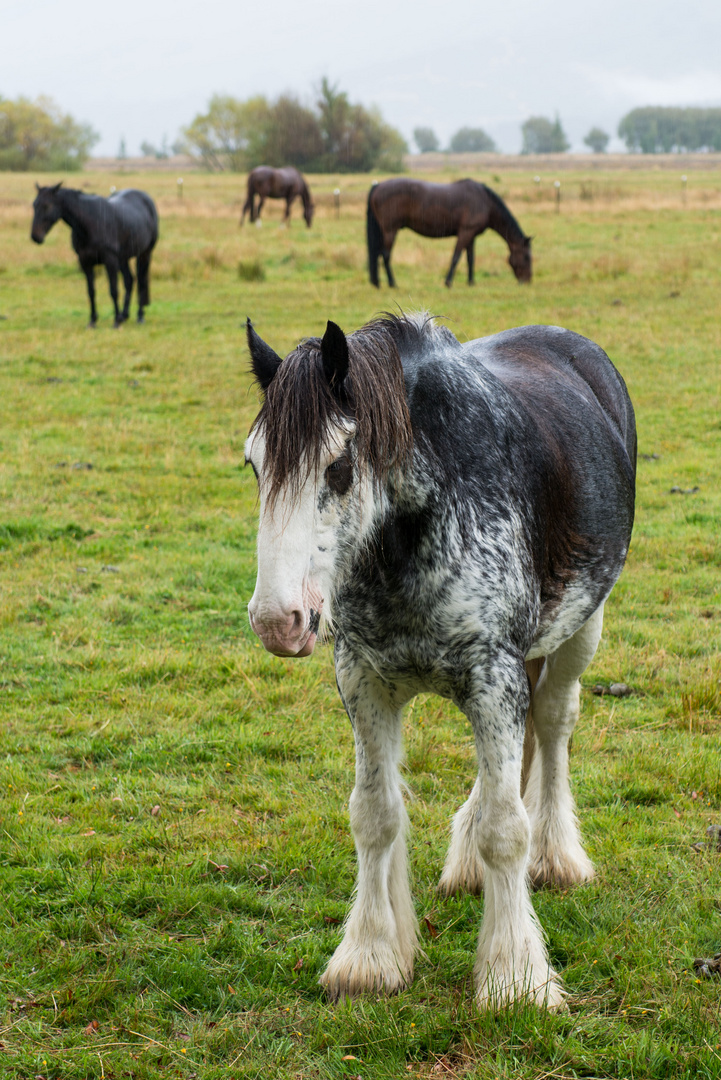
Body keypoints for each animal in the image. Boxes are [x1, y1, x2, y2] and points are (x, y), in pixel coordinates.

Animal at [31, 181, 157, 326]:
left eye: (47, 206)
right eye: (34, 205)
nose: (35, 236)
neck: (90, 223)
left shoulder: (110, 260)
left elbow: (113, 290)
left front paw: (116, 320)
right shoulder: (85, 261)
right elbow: (91, 291)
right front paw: (93, 320)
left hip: (144, 254)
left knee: (141, 282)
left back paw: (140, 316)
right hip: (123, 258)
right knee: (129, 281)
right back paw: (125, 315)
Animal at [243, 313, 634, 1010]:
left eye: (338, 467)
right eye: (253, 464)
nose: (276, 621)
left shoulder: (492, 677)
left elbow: (507, 829)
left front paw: (513, 977)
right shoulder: (364, 681)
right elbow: (374, 817)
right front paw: (370, 958)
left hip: (580, 628)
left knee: (553, 722)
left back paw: (557, 857)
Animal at [369, 178, 533, 287]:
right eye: (526, 257)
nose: (527, 281)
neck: (485, 202)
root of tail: (378, 185)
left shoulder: (471, 236)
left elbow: (470, 259)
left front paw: (471, 282)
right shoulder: (465, 233)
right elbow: (456, 256)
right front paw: (448, 282)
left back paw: (378, 283)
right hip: (390, 230)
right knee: (385, 255)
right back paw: (392, 283)